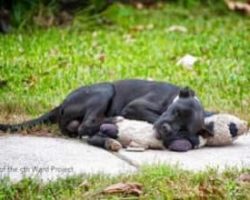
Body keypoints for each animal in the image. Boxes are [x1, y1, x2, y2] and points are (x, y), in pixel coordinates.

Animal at [0, 79, 211, 148]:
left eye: (183, 129)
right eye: (174, 112)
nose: (166, 129)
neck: (171, 99)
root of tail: (61, 104)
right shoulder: (135, 107)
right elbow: (153, 117)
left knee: (82, 128)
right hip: (105, 90)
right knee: (86, 125)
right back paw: (114, 121)